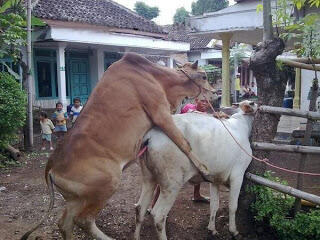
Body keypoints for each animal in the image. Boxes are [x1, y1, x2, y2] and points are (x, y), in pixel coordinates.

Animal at [21, 53, 215, 239]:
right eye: (204, 76)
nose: (215, 93)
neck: (157, 76)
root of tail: (51, 165)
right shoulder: (161, 113)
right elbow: (184, 143)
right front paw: (203, 168)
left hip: (76, 198)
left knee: (65, 224)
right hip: (109, 182)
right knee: (84, 220)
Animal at [134, 100, 256, 239]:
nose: (256, 104)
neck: (241, 124)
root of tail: (150, 136)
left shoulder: (215, 179)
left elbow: (214, 205)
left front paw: (212, 229)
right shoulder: (238, 175)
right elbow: (233, 206)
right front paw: (233, 231)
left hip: (149, 178)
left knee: (139, 208)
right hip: (171, 184)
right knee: (159, 215)